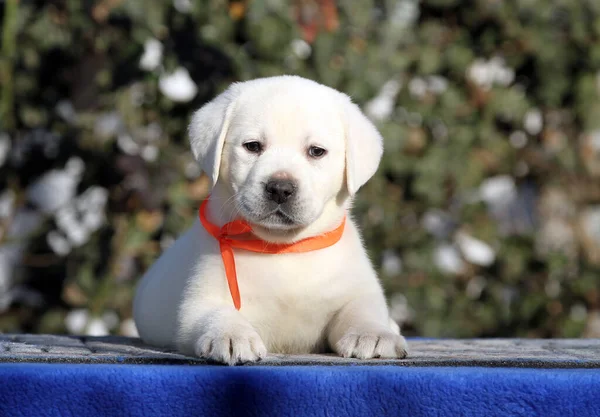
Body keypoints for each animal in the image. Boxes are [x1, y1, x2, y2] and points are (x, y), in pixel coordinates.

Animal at [134, 75, 408, 364]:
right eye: (253, 146)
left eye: (316, 151)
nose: (280, 188)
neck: (282, 248)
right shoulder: (199, 302)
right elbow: (216, 314)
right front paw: (231, 335)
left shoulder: (355, 291)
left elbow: (362, 310)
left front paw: (374, 334)